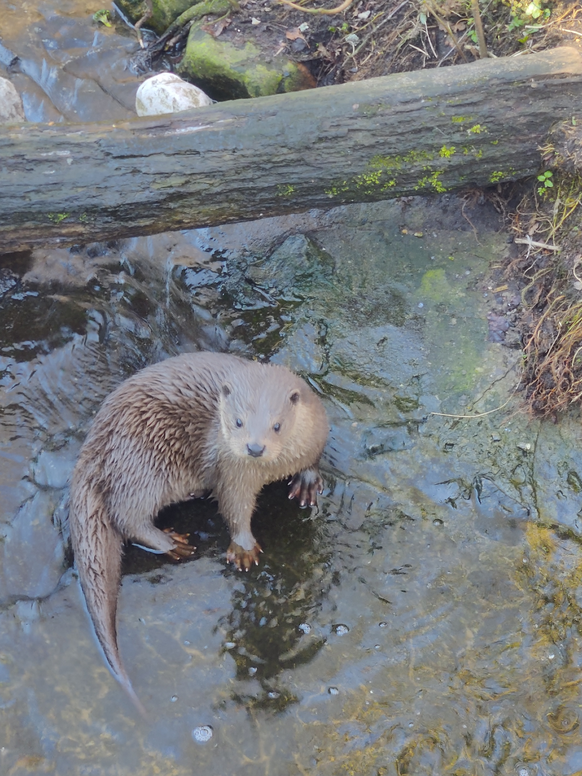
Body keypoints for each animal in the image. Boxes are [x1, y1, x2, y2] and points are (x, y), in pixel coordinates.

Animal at [69, 354, 328, 708]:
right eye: (237, 422)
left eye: (277, 425)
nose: (254, 448)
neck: (274, 467)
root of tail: (94, 444)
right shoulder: (233, 470)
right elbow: (233, 503)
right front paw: (243, 546)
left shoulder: (317, 433)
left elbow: (314, 458)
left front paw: (307, 482)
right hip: (142, 462)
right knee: (127, 515)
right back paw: (169, 542)